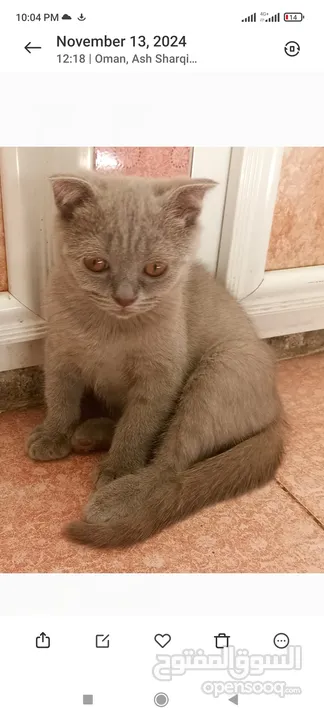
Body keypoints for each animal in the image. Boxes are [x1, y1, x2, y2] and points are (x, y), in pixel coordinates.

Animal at [26, 173, 284, 544]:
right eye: (96, 263)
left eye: (155, 268)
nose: (125, 298)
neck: (111, 330)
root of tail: (277, 411)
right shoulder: (60, 354)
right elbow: (60, 399)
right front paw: (53, 434)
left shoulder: (160, 377)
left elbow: (139, 425)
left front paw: (119, 468)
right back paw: (89, 433)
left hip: (220, 370)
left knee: (170, 465)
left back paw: (117, 494)